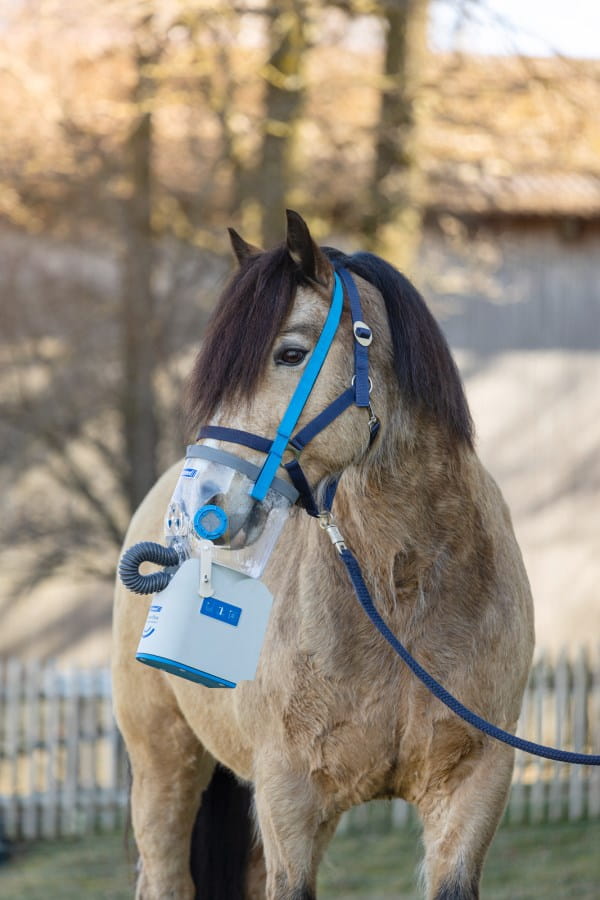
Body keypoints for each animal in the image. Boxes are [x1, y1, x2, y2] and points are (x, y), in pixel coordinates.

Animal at [112, 210, 534, 900]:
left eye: (290, 352)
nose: (201, 504)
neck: (398, 591)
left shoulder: (473, 790)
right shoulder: (289, 801)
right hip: (164, 768)